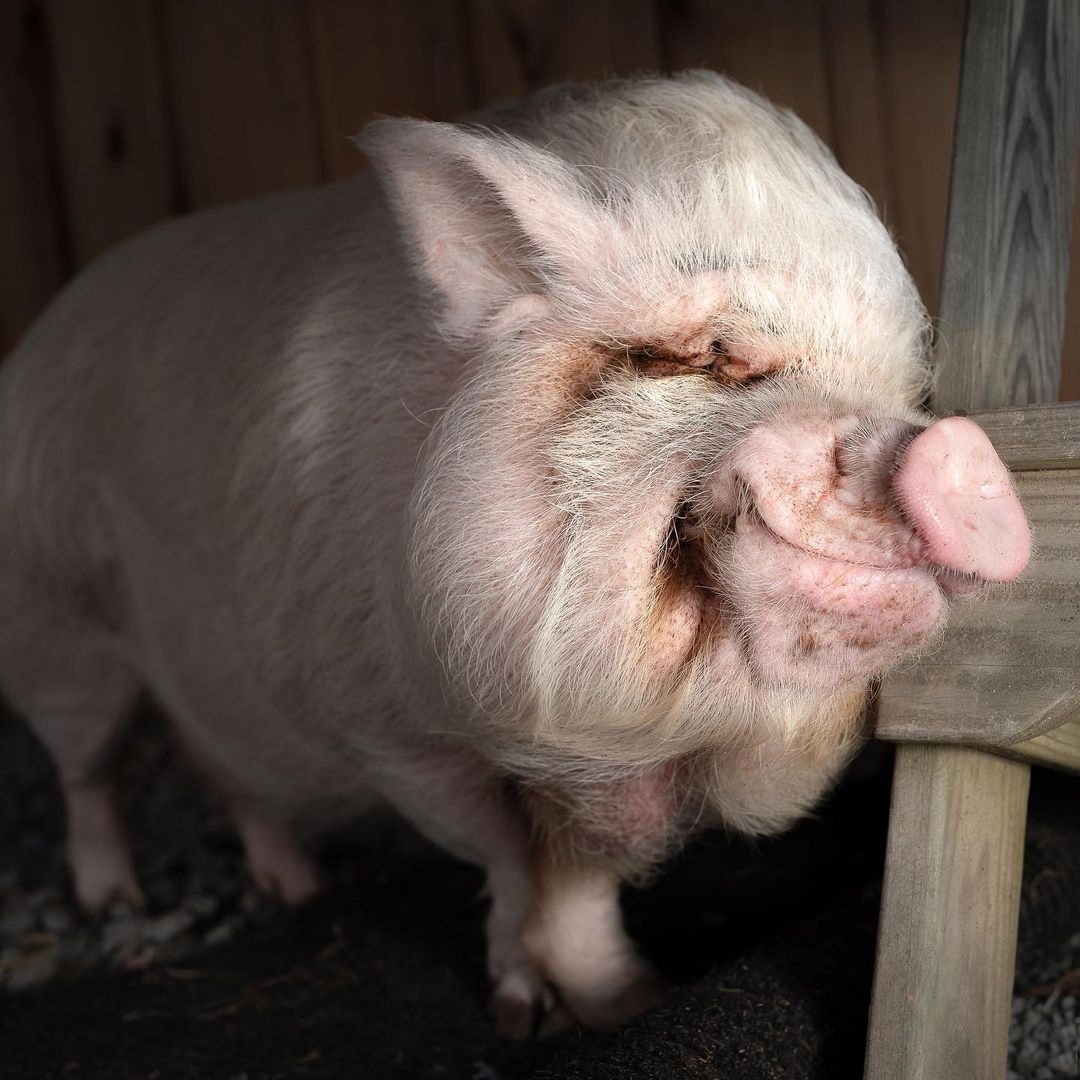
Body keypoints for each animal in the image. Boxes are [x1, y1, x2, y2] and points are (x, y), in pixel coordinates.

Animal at [0, 71, 1030, 1035]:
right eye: (713, 355)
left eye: (903, 388)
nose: (960, 455)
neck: (644, 744)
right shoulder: (393, 732)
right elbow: (502, 857)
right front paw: (520, 1015)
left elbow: (577, 880)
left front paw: (627, 1002)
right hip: (53, 624)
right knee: (87, 769)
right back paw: (114, 899)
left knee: (227, 774)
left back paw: (297, 890)